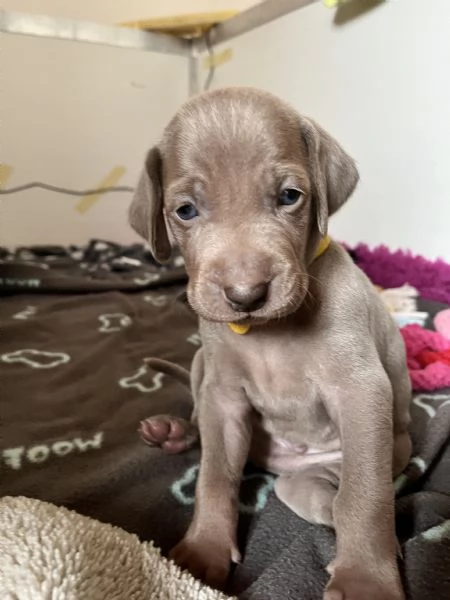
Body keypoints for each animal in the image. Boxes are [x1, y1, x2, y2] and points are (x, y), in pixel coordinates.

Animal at [129, 88, 412, 600]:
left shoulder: (362, 394)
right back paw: (174, 432)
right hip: (200, 365)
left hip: (333, 463)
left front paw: (365, 578)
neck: (269, 333)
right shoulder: (222, 397)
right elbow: (214, 476)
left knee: (324, 493)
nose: (246, 295)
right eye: (185, 210)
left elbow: (364, 494)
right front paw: (201, 555)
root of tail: (276, 462)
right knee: (203, 429)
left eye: (289, 197)